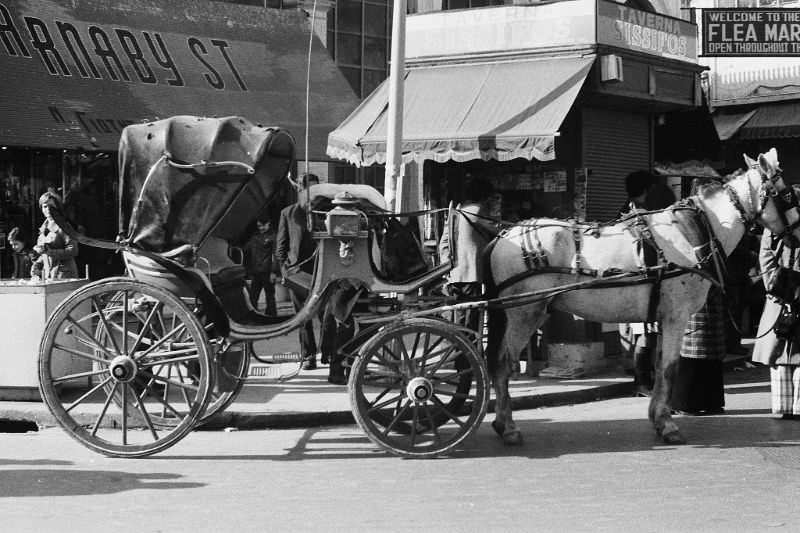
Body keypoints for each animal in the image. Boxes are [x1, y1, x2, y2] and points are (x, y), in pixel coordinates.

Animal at [482, 149, 800, 444]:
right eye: (787, 194)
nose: (798, 236)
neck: (695, 232)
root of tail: (503, 235)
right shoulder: (676, 317)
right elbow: (670, 368)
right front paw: (668, 425)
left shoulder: (661, 318)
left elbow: (660, 366)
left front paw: (658, 418)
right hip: (525, 313)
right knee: (502, 363)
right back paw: (507, 427)